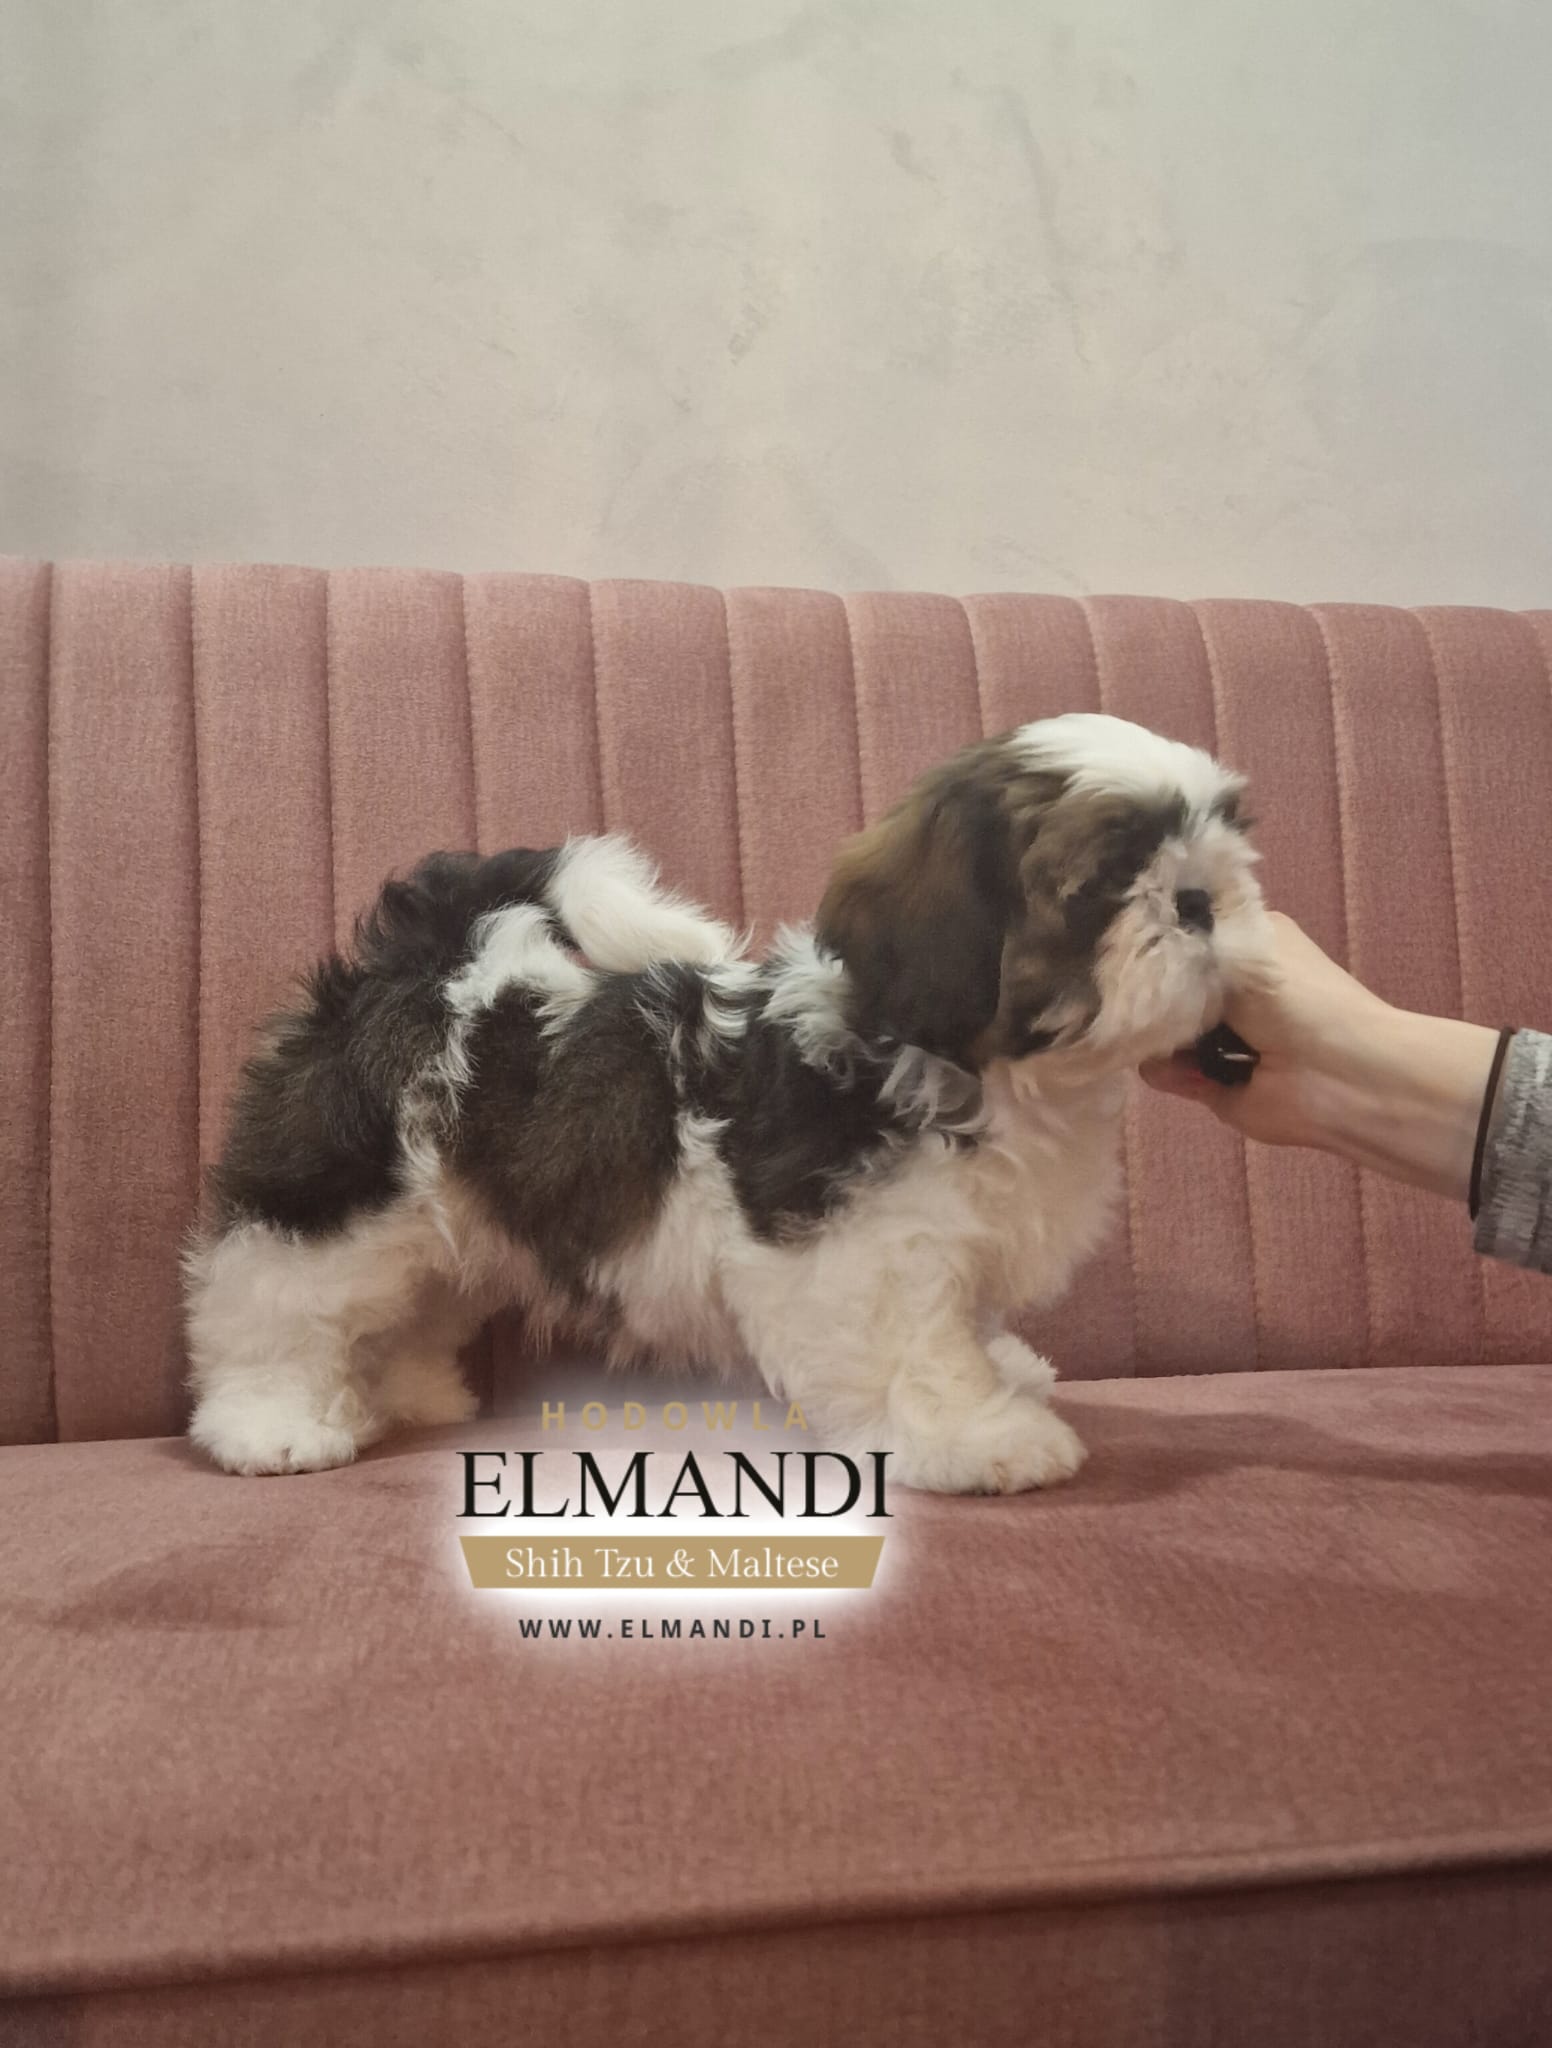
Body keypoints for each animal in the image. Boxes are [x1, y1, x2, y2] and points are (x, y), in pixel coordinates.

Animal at [186, 712, 1266, 1492]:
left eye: (1217, 839)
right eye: (1102, 879)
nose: (1199, 898)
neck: (997, 1070)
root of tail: (429, 954)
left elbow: (967, 1315)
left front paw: (1004, 1372)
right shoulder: (864, 1244)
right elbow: (915, 1344)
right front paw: (976, 1434)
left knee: (414, 1298)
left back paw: (404, 1392)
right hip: (341, 1190)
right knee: (278, 1297)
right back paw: (272, 1421)